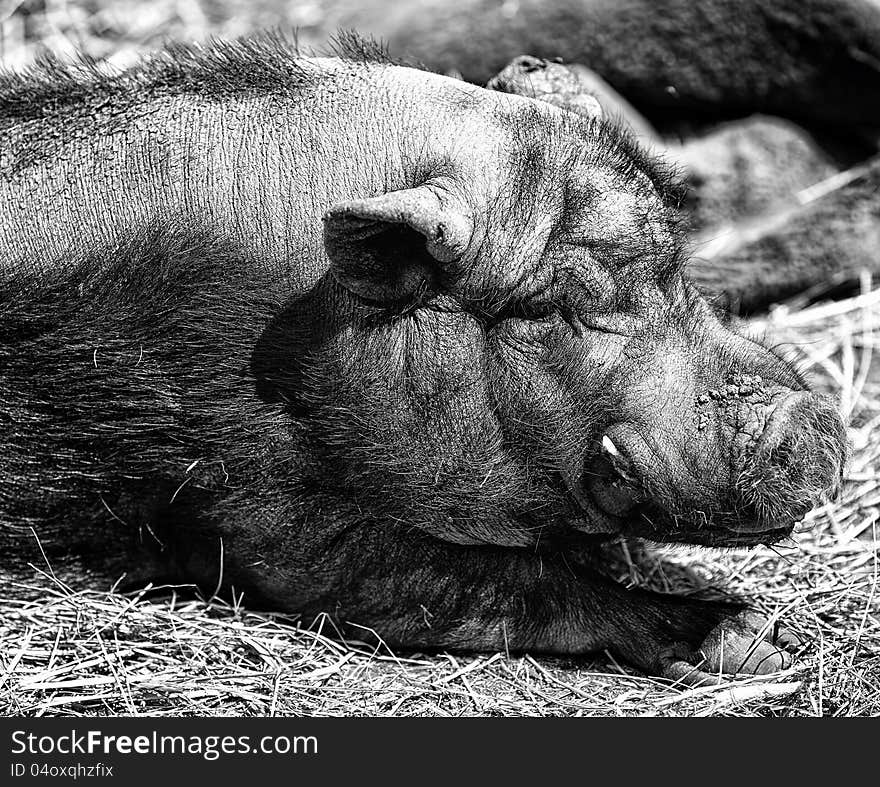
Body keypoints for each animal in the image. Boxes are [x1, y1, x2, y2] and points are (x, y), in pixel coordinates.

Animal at [0, 35, 844, 684]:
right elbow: (496, 582)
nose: (812, 418)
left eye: (676, 263)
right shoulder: (236, 480)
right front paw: (757, 642)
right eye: (553, 305)